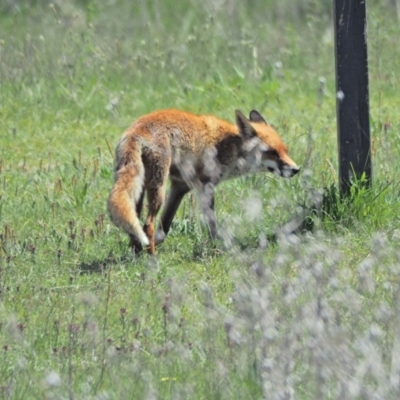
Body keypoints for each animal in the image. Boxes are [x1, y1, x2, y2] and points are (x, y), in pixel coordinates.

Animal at [108, 108, 298, 253]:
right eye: (271, 152)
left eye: (285, 150)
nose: (296, 169)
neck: (229, 147)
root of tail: (135, 130)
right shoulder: (206, 186)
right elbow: (212, 223)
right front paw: (218, 248)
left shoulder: (180, 187)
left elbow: (165, 226)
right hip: (158, 189)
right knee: (147, 225)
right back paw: (152, 258)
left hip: (140, 190)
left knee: (135, 224)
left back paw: (137, 252)